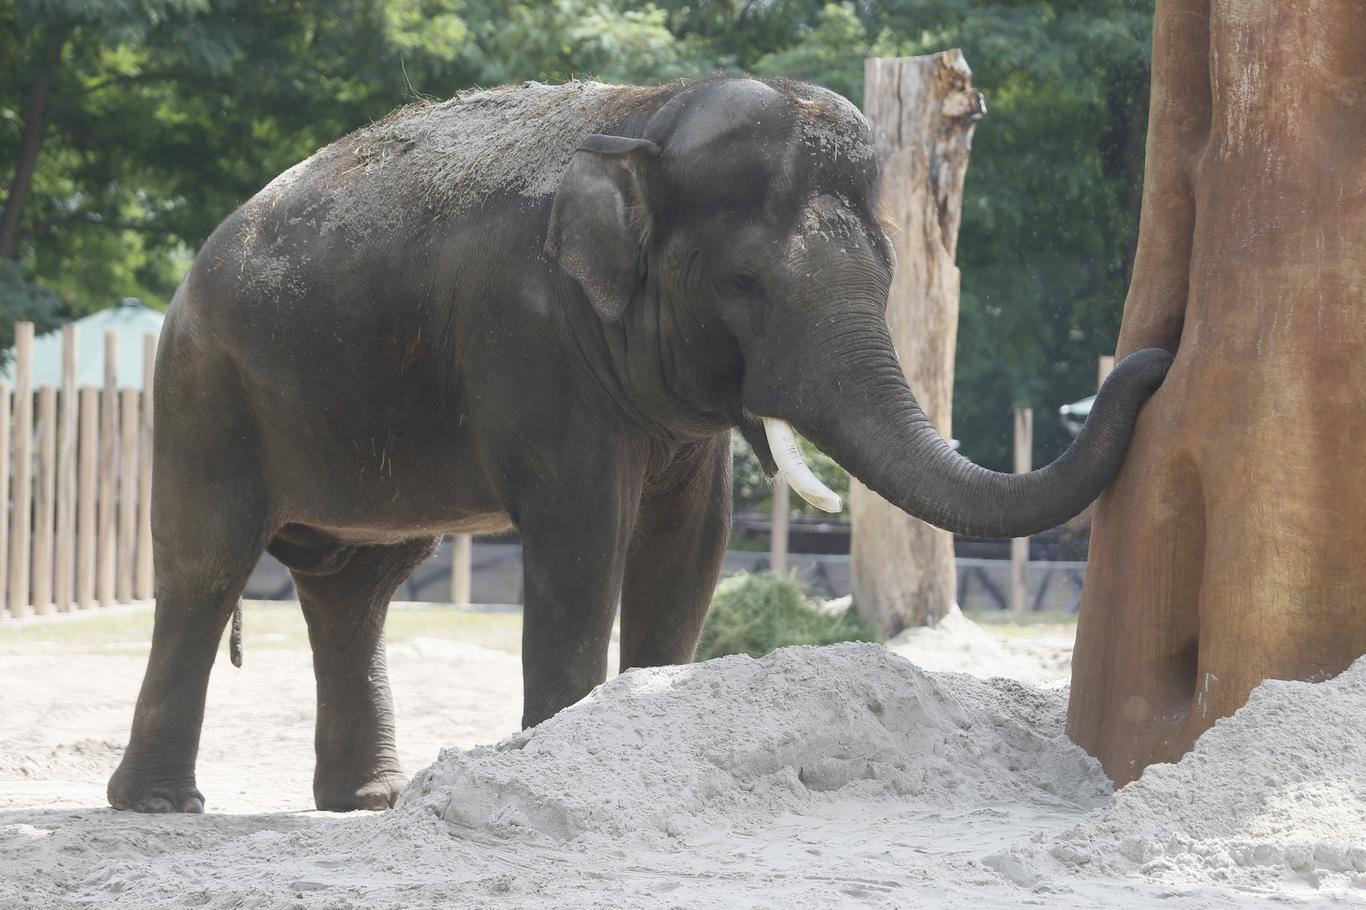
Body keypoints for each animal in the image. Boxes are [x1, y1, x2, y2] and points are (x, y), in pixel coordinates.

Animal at [109, 76, 1174, 808]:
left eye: (885, 273)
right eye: (746, 285)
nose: (1154, 357)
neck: (649, 120)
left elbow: (690, 544)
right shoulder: (531, 332)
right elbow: (584, 535)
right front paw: (557, 758)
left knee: (356, 591)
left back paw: (370, 801)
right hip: (203, 391)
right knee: (207, 567)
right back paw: (163, 805)